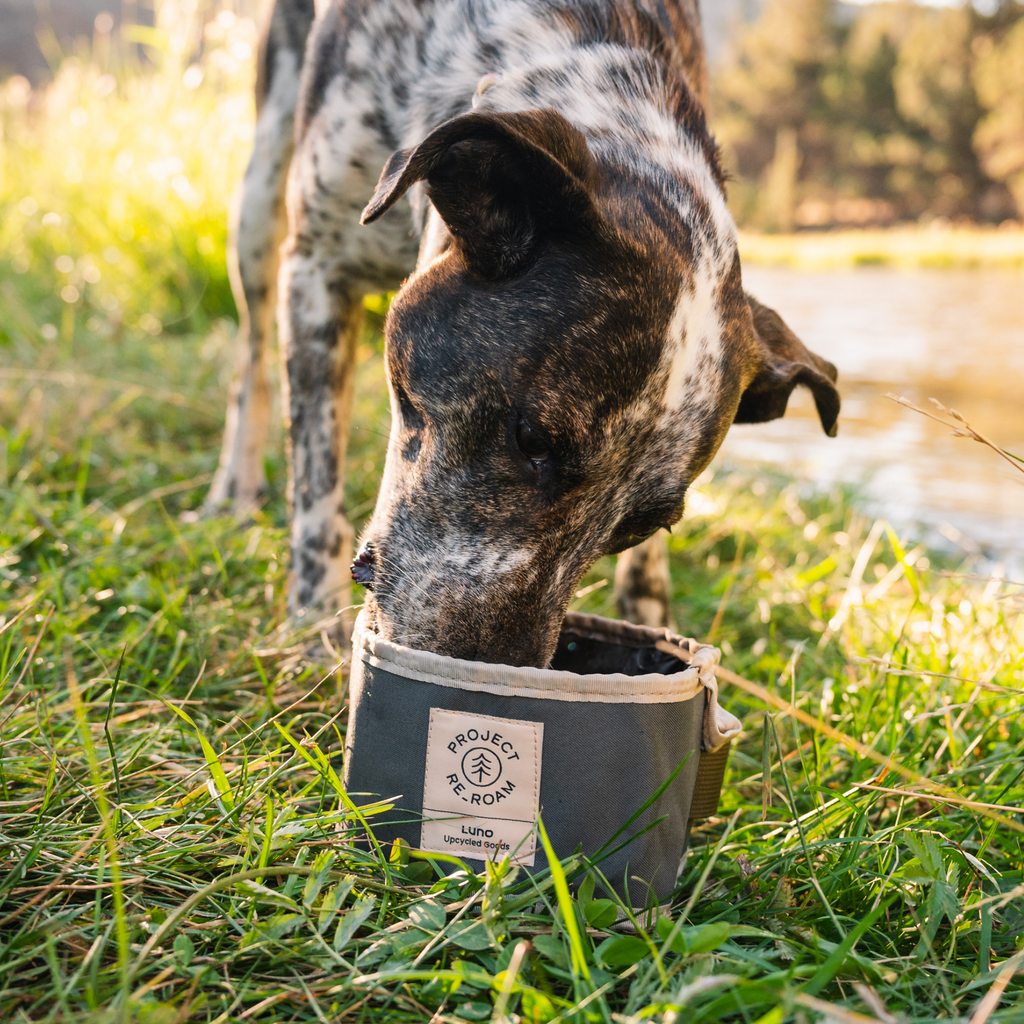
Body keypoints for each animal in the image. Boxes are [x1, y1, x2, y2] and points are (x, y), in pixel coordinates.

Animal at [203, 0, 835, 667]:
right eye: (531, 437)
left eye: (642, 524)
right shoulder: (317, 268)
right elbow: (316, 480)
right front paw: (314, 626)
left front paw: (651, 621)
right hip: (260, 203)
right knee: (252, 360)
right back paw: (233, 491)